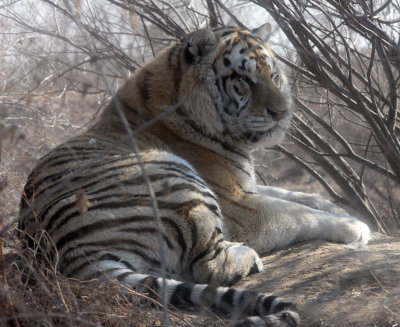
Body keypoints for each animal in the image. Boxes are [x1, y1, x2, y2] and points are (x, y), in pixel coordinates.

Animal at [18, 25, 368, 327]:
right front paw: (355, 227)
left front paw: (342, 209)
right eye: (243, 79)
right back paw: (248, 257)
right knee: (208, 266)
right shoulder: (237, 205)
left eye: (274, 75)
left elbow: (302, 196)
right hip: (177, 181)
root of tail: (72, 256)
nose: (283, 113)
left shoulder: (245, 185)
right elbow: (297, 212)